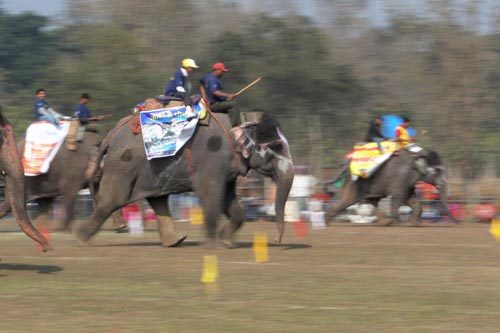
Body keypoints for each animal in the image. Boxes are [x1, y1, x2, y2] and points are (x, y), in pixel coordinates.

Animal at [73, 109, 292, 246]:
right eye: (278, 146)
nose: (276, 240)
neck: (243, 119)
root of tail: (110, 135)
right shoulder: (213, 160)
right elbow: (210, 193)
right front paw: (215, 245)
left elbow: (228, 200)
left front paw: (227, 241)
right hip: (123, 165)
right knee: (112, 200)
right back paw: (81, 237)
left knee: (157, 199)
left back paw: (176, 241)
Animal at [326, 150, 458, 226]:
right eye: (436, 172)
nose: (458, 222)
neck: (415, 157)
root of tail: (346, 166)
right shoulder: (401, 180)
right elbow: (398, 198)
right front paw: (399, 223)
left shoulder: (408, 183)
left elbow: (411, 199)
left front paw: (415, 223)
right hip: (355, 184)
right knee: (349, 200)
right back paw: (328, 221)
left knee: (372, 201)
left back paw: (385, 222)